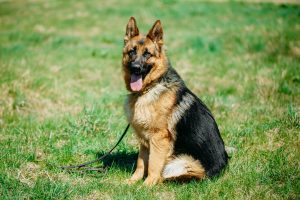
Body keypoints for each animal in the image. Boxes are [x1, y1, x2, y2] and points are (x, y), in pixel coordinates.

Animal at [122, 17, 227, 186]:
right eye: (132, 51)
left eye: (147, 54)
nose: (136, 68)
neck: (150, 87)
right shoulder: (144, 140)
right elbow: (141, 163)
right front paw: (133, 181)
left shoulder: (159, 138)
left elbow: (153, 164)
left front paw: (147, 185)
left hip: (179, 162)